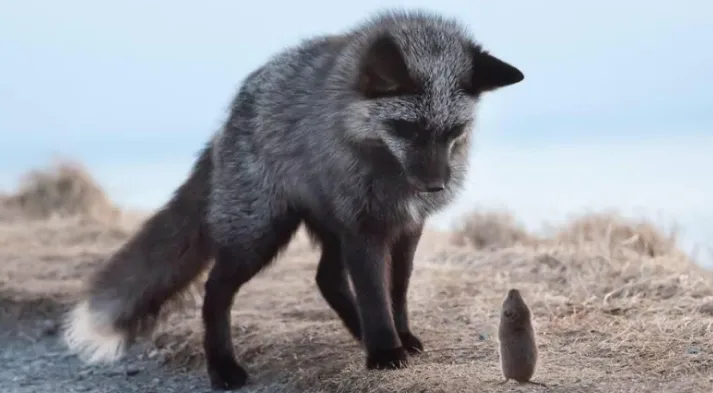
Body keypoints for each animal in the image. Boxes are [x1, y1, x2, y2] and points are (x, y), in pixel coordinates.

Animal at [62, 8, 524, 388]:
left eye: (453, 132)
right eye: (407, 129)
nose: (435, 186)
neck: (385, 171)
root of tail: (226, 121)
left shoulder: (404, 227)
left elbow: (396, 293)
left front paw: (400, 337)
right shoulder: (364, 229)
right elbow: (374, 295)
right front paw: (384, 352)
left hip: (320, 229)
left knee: (326, 279)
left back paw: (358, 333)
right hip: (260, 234)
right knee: (215, 290)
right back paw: (223, 367)